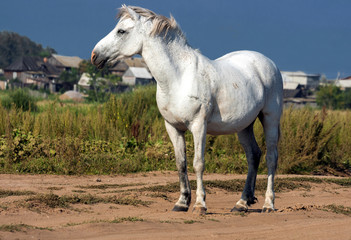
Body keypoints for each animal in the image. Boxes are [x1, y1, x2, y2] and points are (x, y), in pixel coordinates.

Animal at [92, 5, 284, 215]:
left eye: (121, 31)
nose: (94, 55)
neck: (179, 77)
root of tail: (270, 63)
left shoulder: (199, 126)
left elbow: (198, 164)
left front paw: (200, 205)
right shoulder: (173, 127)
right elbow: (181, 164)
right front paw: (182, 202)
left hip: (270, 118)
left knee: (271, 158)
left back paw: (268, 204)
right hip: (244, 126)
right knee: (253, 155)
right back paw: (242, 203)